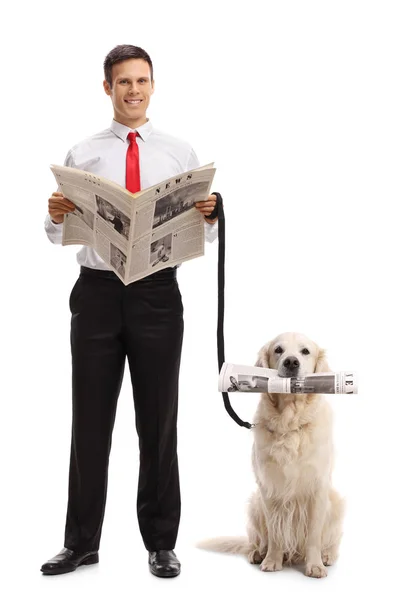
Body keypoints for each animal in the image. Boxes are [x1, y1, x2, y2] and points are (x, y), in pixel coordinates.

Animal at [198, 332, 346, 576]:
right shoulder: (270, 487)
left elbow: (314, 535)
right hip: (255, 504)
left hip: (335, 501)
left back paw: (327, 556)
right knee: (258, 539)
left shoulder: (317, 486)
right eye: (278, 350)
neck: (290, 423)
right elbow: (275, 532)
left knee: (331, 539)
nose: (291, 362)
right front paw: (272, 560)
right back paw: (258, 552)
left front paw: (314, 565)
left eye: (305, 351)